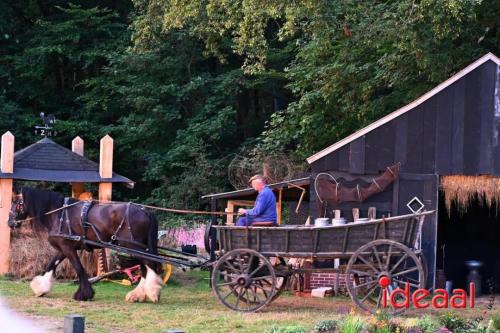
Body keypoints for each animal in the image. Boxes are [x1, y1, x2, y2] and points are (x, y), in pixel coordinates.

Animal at [6, 187, 163, 300]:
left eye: (16, 203)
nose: (9, 222)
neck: (59, 214)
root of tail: (145, 212)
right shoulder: (63, 248)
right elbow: (51, 265)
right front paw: (40, 288)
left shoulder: (68, 248)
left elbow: (79, 269)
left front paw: (84, 294)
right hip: (138, 247)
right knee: (145, 267)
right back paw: (139, 295)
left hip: (133, 246)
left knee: (148, 264)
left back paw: (152, 292)